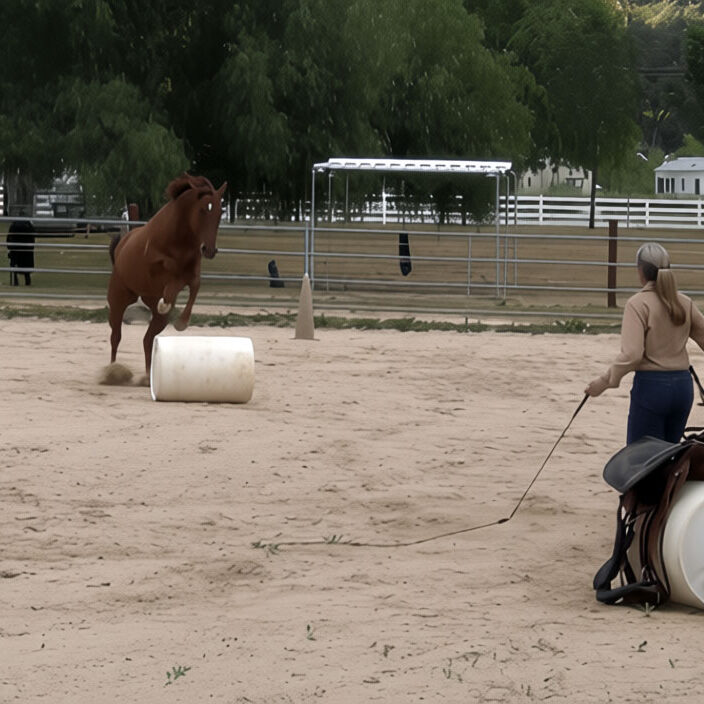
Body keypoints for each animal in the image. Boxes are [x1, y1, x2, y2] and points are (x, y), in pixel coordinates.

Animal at [107, 173, 227, 381]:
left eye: (220, 213)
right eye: (203, 209)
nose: (209, 250)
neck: (180, 238)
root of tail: (120, 247)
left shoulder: (192, 273)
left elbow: (195, 285)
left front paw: (181, 322)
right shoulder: (157, 271)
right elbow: (172, 280)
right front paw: (167, 302)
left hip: (157, 317)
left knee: (147, 340)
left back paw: (147, 376)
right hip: (118, 300)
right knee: (116, 337)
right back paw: (113, 371)